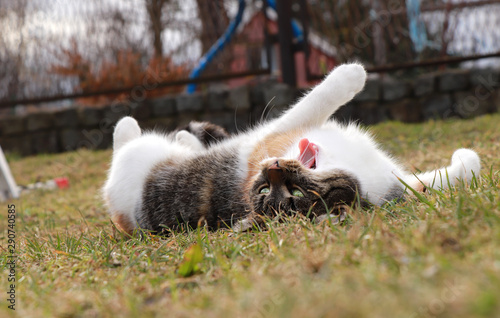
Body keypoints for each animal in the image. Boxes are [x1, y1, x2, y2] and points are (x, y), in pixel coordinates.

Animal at [102, 63, 480, 235]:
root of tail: (121, 213)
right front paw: (351, 75)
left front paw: (465, 158)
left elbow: (447, 175)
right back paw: (137, 127)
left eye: (294, 194)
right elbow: (308, 104)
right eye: (266, 188)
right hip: (134, 156)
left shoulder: (390, 185)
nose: (273, 166)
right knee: (125, 137)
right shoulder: (269, 135)